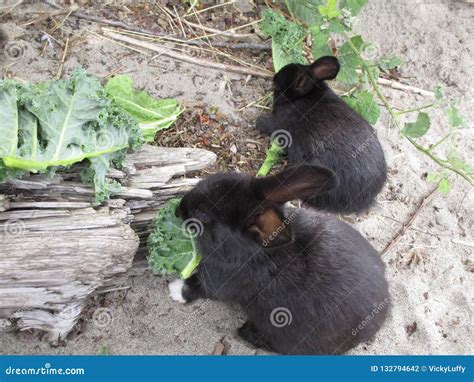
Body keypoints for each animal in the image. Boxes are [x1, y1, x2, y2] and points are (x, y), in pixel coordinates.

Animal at [168, 166, 390, 356]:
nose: (178, 209)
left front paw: (174, 289)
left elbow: (198, 286)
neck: (249, 250)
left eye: (203, 215)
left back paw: (247, 333)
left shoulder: (220, 282)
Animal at [258, 56, 386, 215]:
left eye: (277, 86)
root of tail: (367, 198)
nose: (273, 78)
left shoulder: (279, 122)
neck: (303, 97)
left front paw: (258, 121)